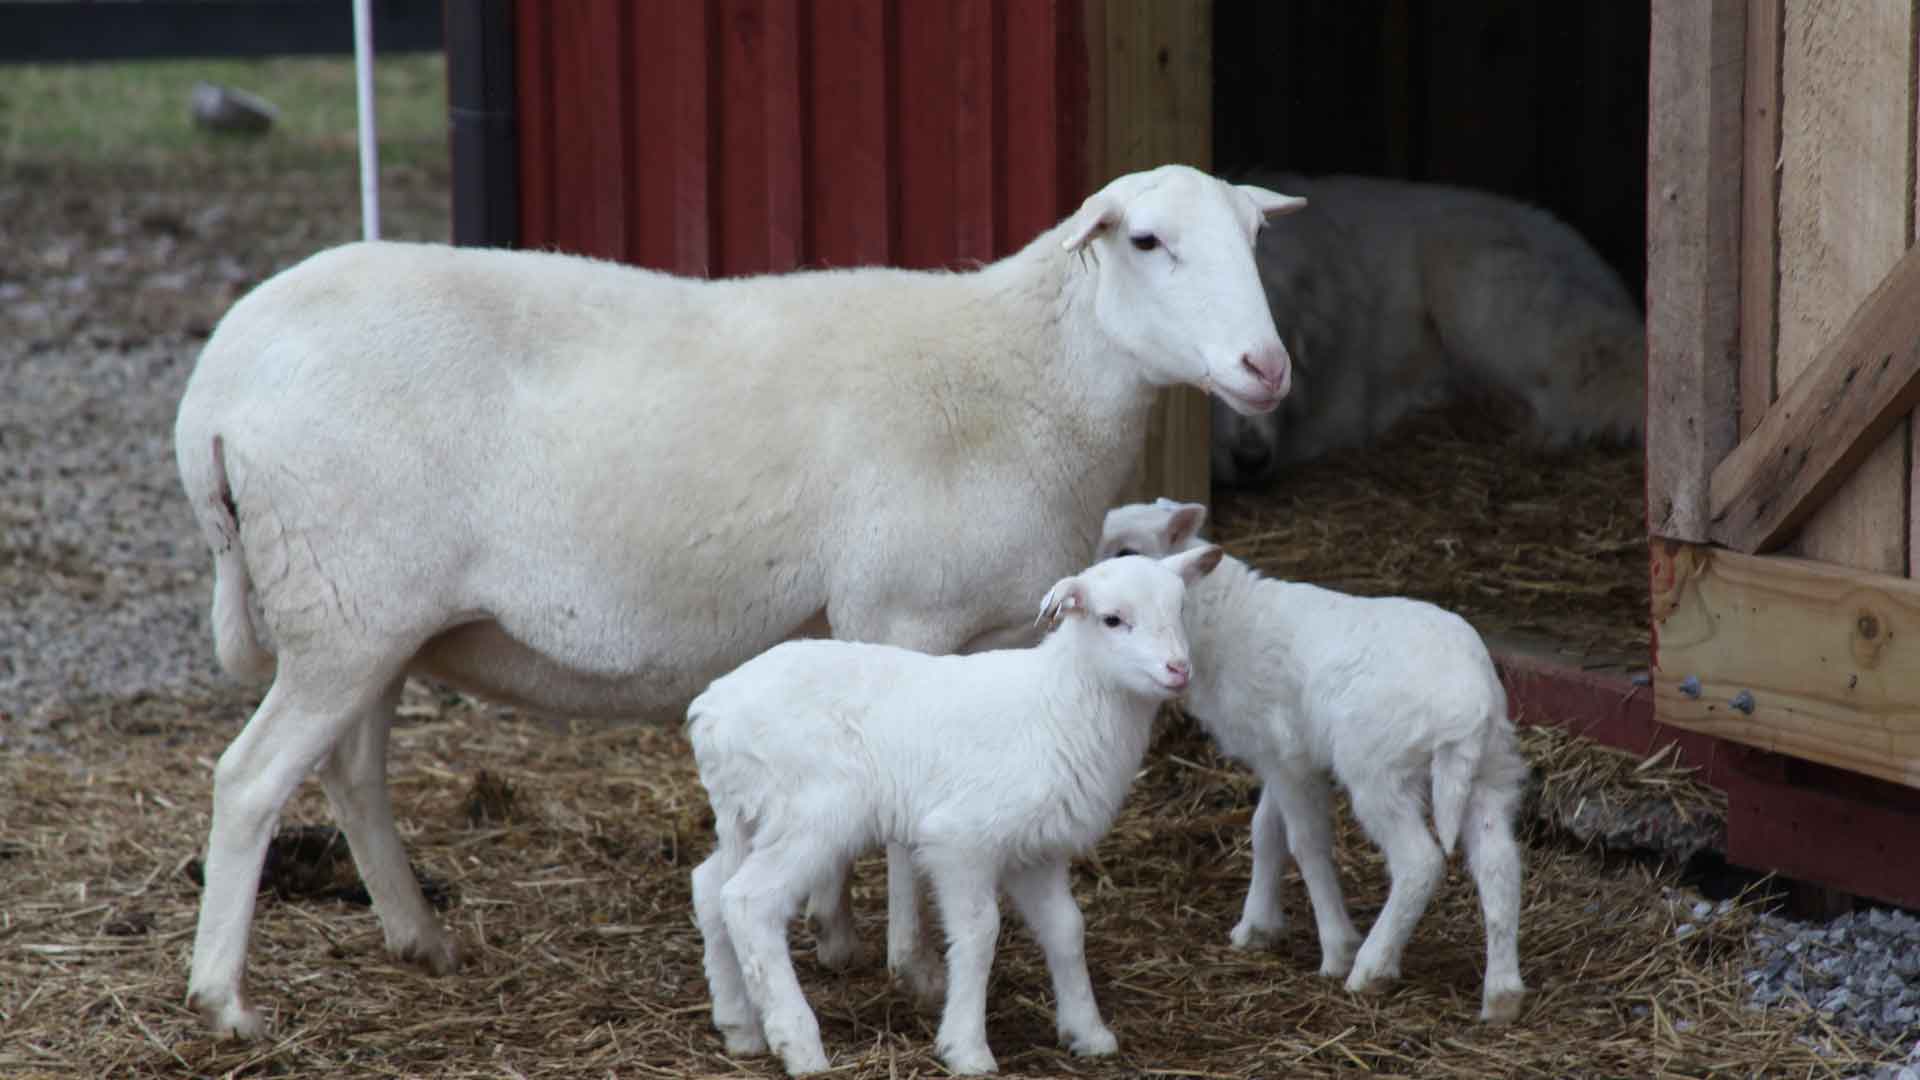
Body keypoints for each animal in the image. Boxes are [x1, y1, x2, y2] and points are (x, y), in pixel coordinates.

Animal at [691, 541, 1221, 1068]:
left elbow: (1067, 929)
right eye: (1112, 619)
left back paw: (739, 1026)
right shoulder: (960, 839)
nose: (1179, 670)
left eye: (1180, 610)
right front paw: (967, 1047)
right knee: (748, 902)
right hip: (812, 813)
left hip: (751, 813)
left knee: (710, 888)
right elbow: (979, 932)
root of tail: (711, 715)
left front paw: (1088, 1033)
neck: (1060, 703)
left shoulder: (1037, 849)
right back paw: (799, 1045)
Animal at [1098, 495, 1528, 1014]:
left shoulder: (1286, 757)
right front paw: (1256, 927)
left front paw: (1336, 948)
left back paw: (1371, 967)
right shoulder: (1281, 755)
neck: (1217, 619)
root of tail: (1470, 701)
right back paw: (1502, 994)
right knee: (1498, 861)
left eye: (1126, 554)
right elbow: (1266, 830)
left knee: (1419, 863)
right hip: (1489, 768)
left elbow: (1305, 842)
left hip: (1380, 769)